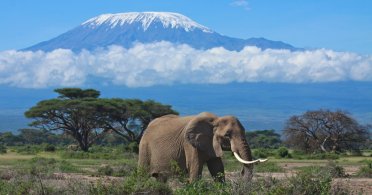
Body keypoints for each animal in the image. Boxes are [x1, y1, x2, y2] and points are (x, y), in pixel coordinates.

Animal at [138, 112, 266, 182]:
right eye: (227, 135)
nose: (241, 172)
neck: (216, 120)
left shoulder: (211, 144)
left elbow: (217, 169)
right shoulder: (189, 144)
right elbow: (195, 168)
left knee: (160, 178)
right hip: (144, 147)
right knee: (143, 174)